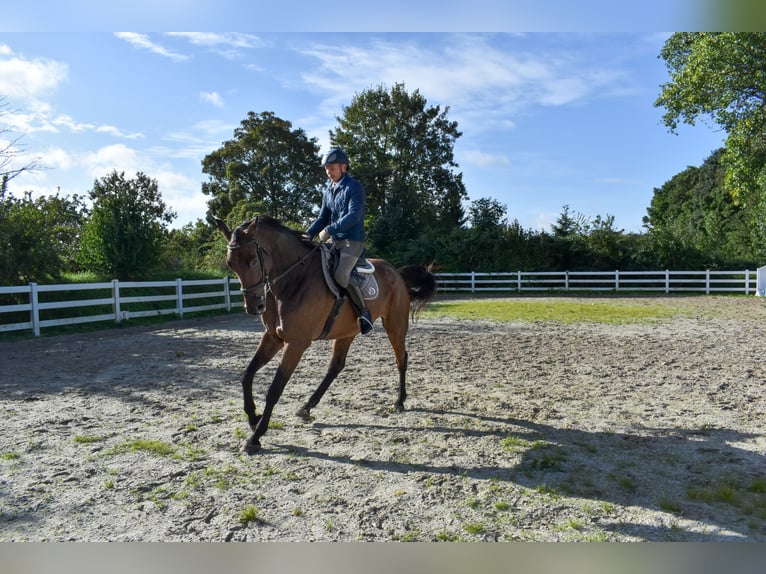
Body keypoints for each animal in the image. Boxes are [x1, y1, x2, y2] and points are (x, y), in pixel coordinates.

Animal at [215, 214, 437, 454]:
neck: (294, 279)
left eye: (253, 261)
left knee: (401, 358)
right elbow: (247, 375)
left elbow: (275, 389)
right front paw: (253, 417)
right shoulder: (273, 338)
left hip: (395, 326)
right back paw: (307, 407)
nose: (254, 307)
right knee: (336, 366)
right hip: (347, 331)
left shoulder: (296, 343)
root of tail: (396, 272)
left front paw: (255, 437)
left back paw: (400, 401)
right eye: (231, 264)